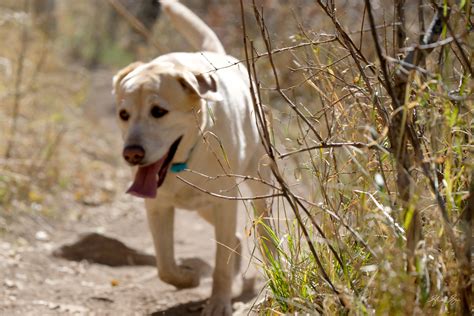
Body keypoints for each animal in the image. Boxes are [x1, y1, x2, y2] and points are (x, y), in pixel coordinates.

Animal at [111, 1, 272, 314]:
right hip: (203, 207)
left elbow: (220, 262)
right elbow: (164, 265)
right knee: (234, 240)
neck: (183, 162)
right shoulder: (157, 206)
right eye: (124, 115)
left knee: (263, 231)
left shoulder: (225, 203)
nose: (132, 154)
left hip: (257, 184)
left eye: (158, 112)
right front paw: (189, 277)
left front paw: (218, 302)